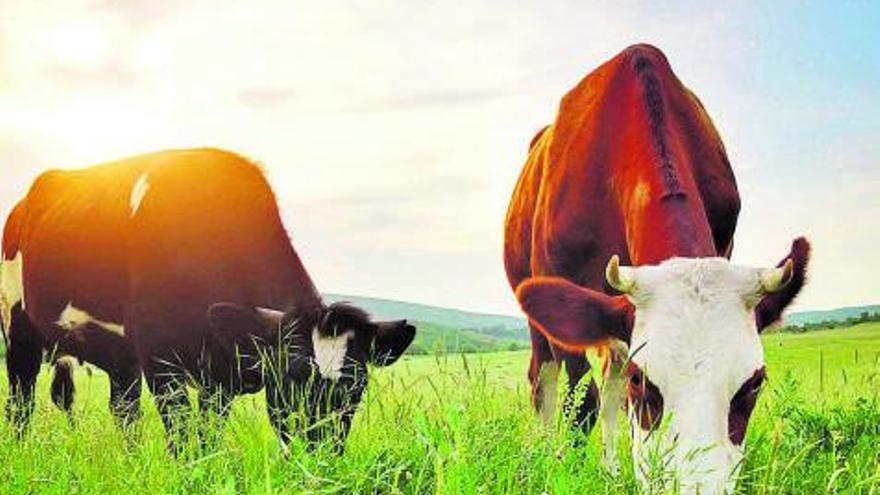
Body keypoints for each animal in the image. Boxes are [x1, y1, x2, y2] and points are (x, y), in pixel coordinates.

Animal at [0, 148, 416, 454]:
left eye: (356, 390)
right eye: (292, 380)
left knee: (122, 410)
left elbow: (207, 438)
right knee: (21, 401)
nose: (320, 458)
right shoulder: (161, 360)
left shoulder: (220, 377)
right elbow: (183, 439)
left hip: (119, 354)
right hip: (18, 326)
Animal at [506, 44, 808, 494]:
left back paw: (611, 471)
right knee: (544, 381)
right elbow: (581, 403)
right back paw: (542, 455)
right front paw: (565, 474)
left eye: (754, 383)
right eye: (642, 380)